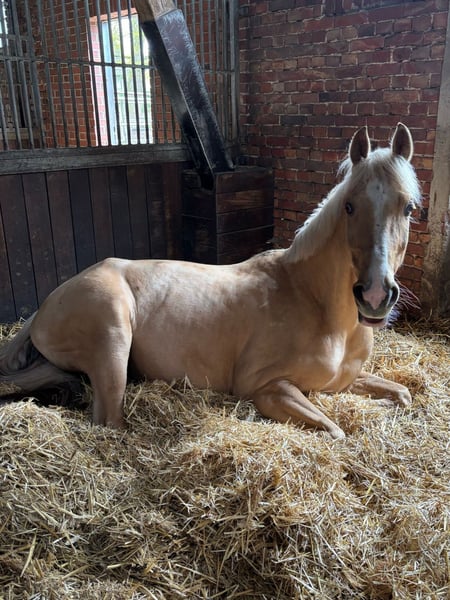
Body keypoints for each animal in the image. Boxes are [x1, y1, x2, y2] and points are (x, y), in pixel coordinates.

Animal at [0, 123, 421, 439]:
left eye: (408, 208)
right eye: (349, 206)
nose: (375, 295)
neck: (319, 309)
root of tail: (47, 305)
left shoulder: (341, 380)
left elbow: (402, 393)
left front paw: (387, 404)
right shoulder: (265, 387)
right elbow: (335, 430)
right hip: (112, 341)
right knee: (109, 422)